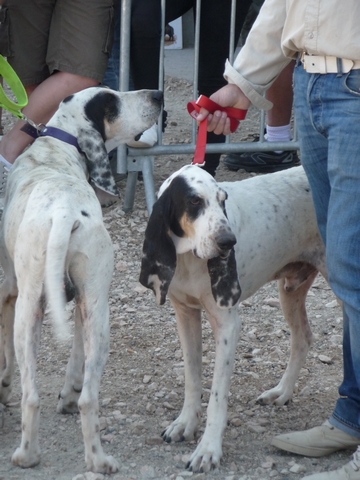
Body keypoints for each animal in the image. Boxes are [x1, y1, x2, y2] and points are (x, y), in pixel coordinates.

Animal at [0, 86, 162, 472]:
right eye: (113, 101)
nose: (158, 94)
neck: (56, 149)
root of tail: (63, 210)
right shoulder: (77, 302)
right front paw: (68, 395)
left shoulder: (9, 290)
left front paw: (3, 387)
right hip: (97, 315)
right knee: (86, 398)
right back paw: (95, 458)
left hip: (33, 310)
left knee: (33, 395)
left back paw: (29, 455)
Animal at [141, 165, 330, 472]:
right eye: (194, 201)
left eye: (223, 200)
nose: (228, 242)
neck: (190, 259)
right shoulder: (185, 315)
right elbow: (192, 378)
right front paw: (185, 423)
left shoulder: (228, 324)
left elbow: (217, 396)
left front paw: (208, 449)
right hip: (290, 291)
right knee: (303, 338)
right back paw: (282, 392)